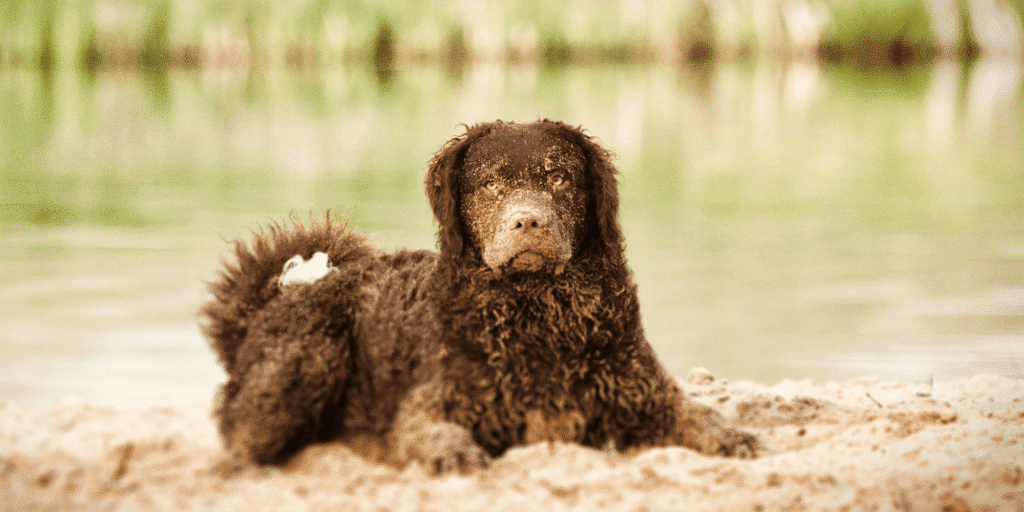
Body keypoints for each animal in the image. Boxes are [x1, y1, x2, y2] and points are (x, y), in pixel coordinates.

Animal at [201, 117, 761, 473]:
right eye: (490, 184)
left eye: (560, 177)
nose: (528, 221)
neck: (540, 318)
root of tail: (271, 304)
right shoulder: (431, 404)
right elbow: (435, 432)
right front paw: (452, 453)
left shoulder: (643, 391)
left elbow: (698, 415)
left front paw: (730, 436)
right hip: (311, 355)